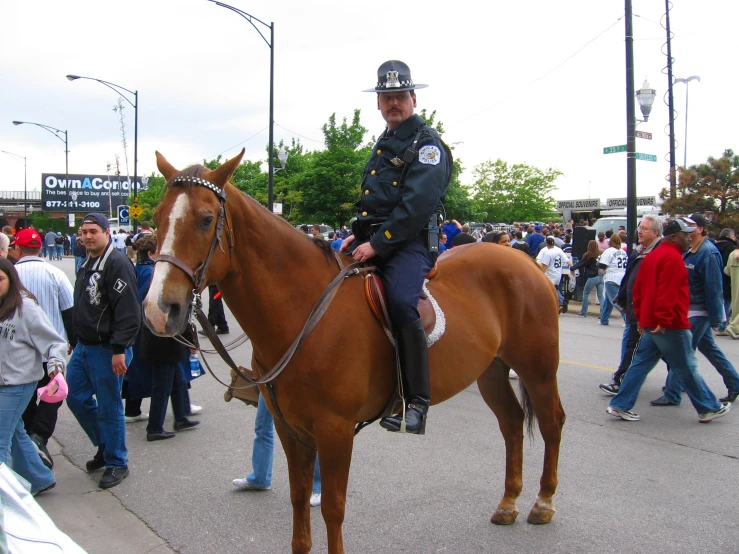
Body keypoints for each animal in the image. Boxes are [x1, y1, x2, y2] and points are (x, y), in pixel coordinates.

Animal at [143, 149, 568, 548]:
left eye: (204, 219)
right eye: (158, 216)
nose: (160, 310)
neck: (305, 312)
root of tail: (525, 261)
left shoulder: (335, 430)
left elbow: (332, 507)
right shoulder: (290, 428)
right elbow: (299, 501)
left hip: (538, 369)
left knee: (551, 422)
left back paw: (543, 503)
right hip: (491, 370)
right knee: (511, 423)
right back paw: (508, 503)